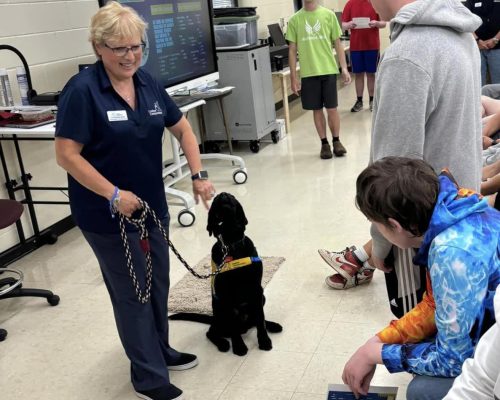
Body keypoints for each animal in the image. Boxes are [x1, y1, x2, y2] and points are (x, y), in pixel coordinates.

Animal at [170, 192, 282, 354]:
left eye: (233, 197)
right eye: (214, 200)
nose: (222, 194)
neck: (231, 245)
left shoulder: (256, 288)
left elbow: (261, 319)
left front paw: (264, 340)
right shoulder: (226, 294)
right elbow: (233, 324)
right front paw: (239, 346)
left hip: (261, 298)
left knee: (255, 319)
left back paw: (272, 325)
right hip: (220, 310)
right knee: (211, 332)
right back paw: (223, 343)